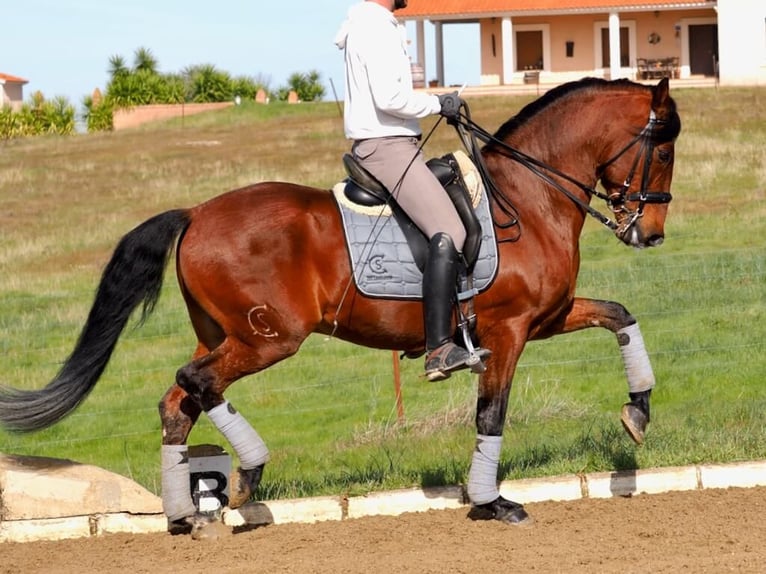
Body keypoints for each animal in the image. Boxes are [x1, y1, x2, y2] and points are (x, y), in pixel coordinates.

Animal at [0, 76, 684, 536]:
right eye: (664, 149)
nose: (650, 234)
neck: (527, 193)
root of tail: (195, 213)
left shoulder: (545, 318)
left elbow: (621, 314)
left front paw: (638, 412)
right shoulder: (508, 330)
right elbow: (492, 414)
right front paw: (491, 502)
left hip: (221, 333)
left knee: (178, 401)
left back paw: (184, 516)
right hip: (269, 338)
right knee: (196, 382)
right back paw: (244, 478)